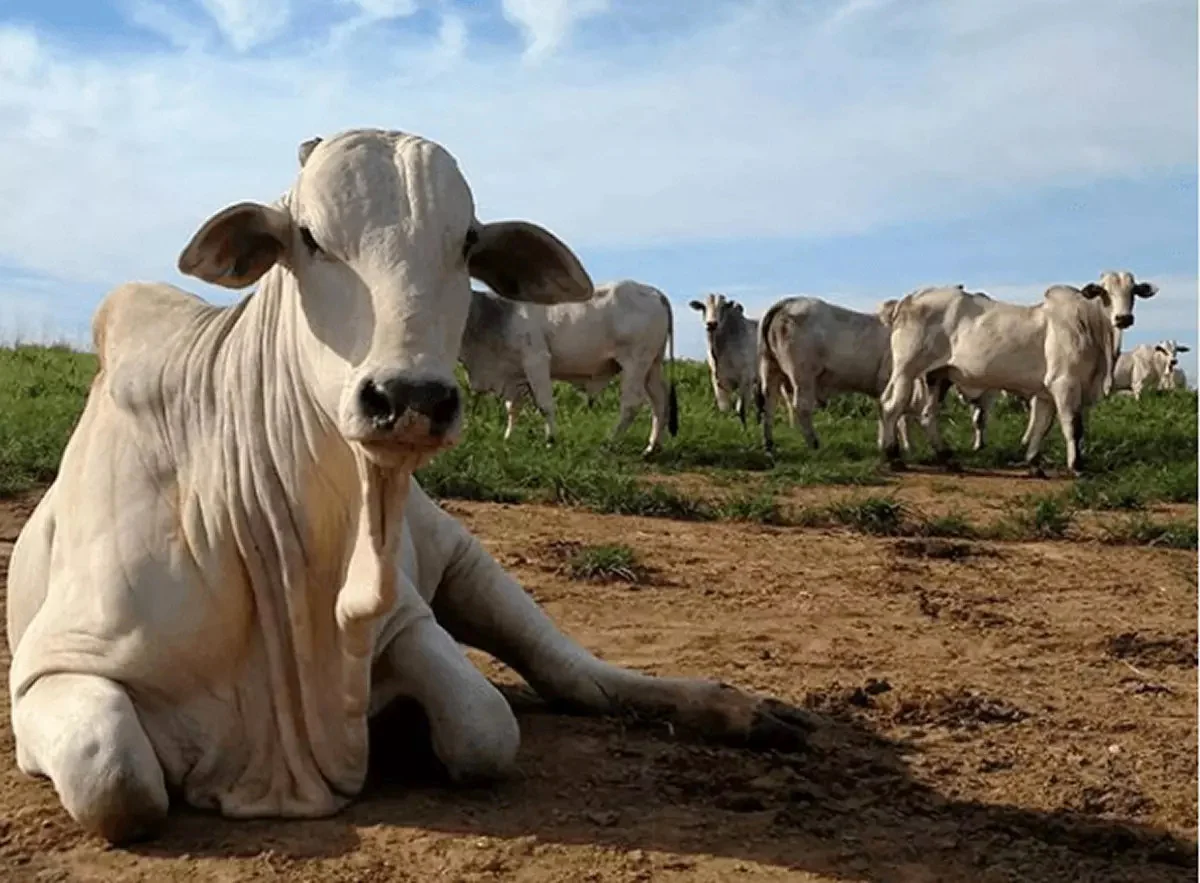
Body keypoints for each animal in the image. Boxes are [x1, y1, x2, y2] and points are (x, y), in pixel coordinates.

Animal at [458, 280, 679, 455]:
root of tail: (654, 292)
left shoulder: (536, 360)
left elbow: (544, 405)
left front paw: (550, 440)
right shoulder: (513, 374)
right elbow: (513, 408)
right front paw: (508, 438)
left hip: (635, 363)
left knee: (632, 404)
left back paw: (609, 442)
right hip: (652, 366)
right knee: (659, 400)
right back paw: (652, 447)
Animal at [689, 293, 759, 426]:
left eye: (722, 307)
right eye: (703, 307)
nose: (711, 324)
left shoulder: (746, 380)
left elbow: (741, 410)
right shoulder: (718, 381)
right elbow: (725, 408)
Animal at [755, 295, 928, 454]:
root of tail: (787, 302)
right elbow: (899, 415)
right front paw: (901, 446)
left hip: (769, 367)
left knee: (768, 405)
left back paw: (768, 445)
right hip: (802, 375)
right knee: (801, 406)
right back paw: (814, 443)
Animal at [878, 272, 1158, 474]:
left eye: (1133, 291)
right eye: (1105, 292)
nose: (1123, 318)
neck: (1088, 326)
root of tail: (909, 299)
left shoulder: (1046, 394)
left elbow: (1041, 426)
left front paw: (1033, 463)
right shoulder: (1065, 384)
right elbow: (1073, 427)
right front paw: (1077, 466)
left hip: (938, 376)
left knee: (927, 415)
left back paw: (947, 458)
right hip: (907, 370)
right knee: (892, 407)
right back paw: (893, 457)